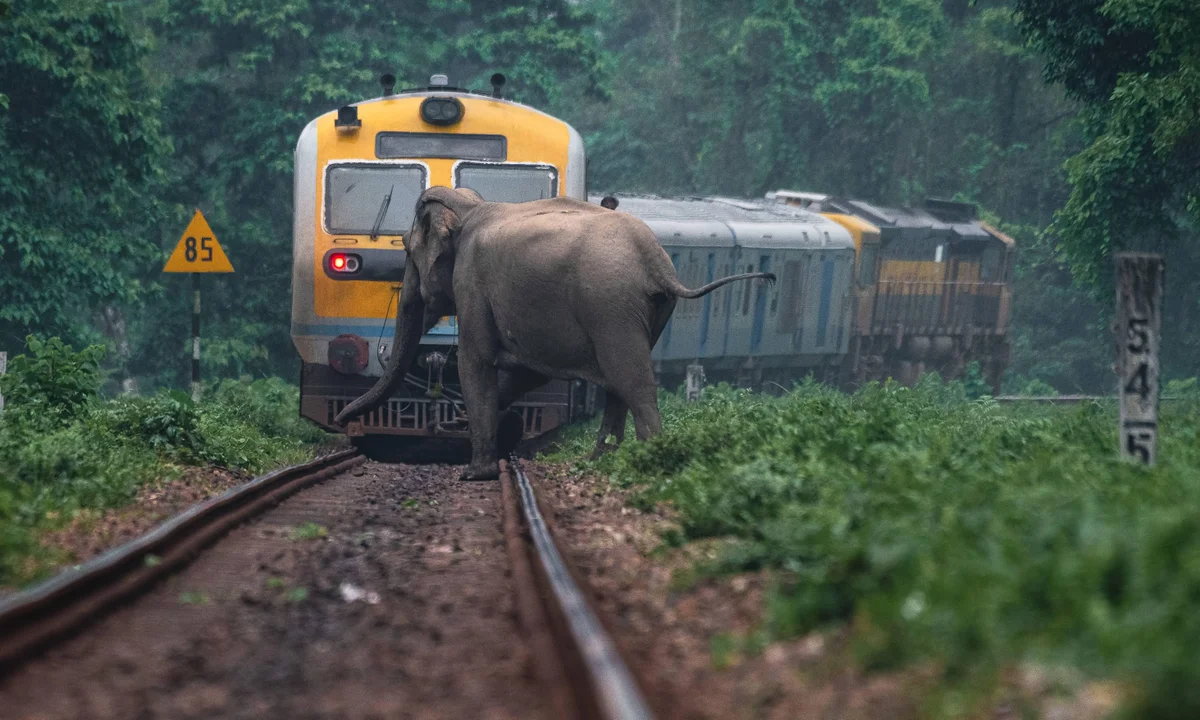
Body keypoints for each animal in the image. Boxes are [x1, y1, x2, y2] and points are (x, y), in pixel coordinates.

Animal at [333, 187, 772, 477]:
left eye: (407, 249)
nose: (340, 420)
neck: (470, 205)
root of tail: (657, 262)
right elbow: (526, 372)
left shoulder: (472, 280)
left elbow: (476, 361)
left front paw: (475, 473)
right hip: (653, 308)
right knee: (621, 383)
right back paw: (600, 460)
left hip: (610, 304)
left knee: (631, 380)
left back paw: (647, 461)